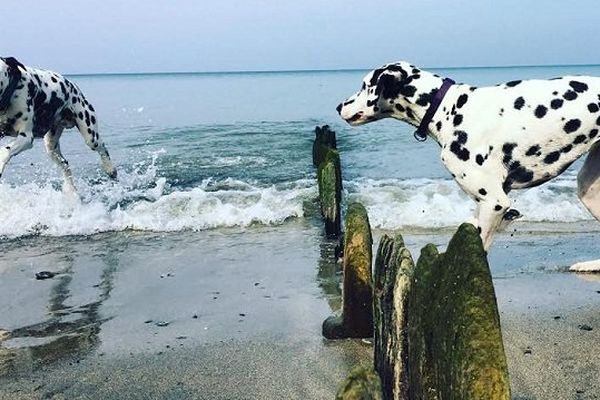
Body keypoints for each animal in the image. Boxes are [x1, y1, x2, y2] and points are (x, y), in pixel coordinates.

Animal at [0, 57, 116, 193]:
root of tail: (75, 87)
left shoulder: (26, 137)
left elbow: (5, 151)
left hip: (91, 136)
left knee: (103, 149)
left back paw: (110, 169)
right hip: (51, 148)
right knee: (65, 164)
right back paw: (71, 191)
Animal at [338, 60, 600, 272]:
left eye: (365, 85)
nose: (339, 106)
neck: (448, 109)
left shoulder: (495, 203)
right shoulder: (484, 208)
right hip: (589, 190)